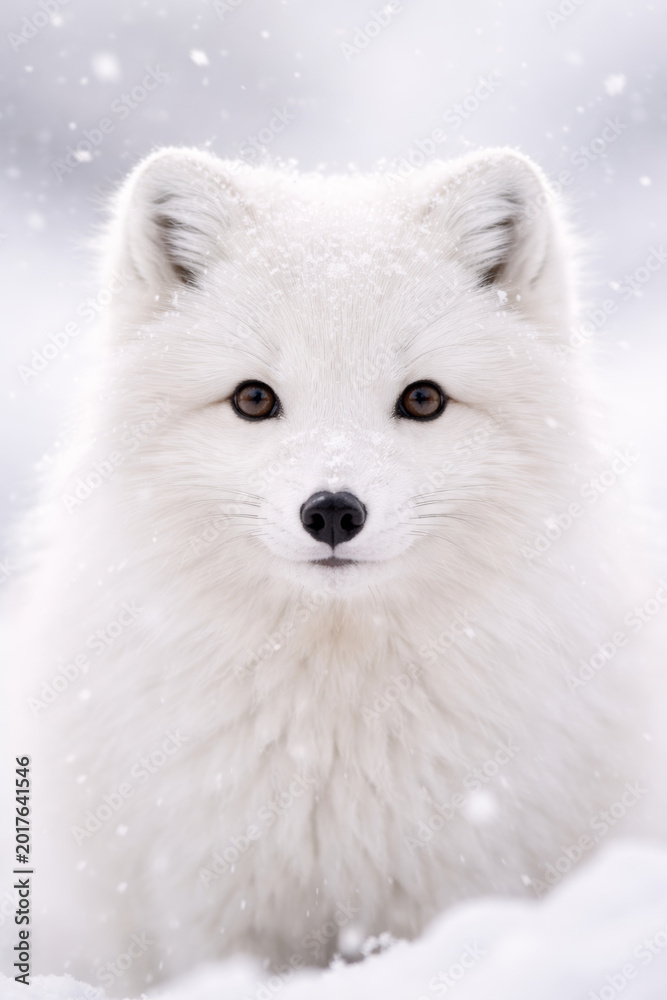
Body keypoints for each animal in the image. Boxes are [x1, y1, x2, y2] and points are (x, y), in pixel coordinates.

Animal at [3, 146, 660, 995]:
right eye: (253, 399)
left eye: (423, 399)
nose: (333, 513)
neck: (336, 717)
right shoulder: (212, 904)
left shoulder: (462, 877)